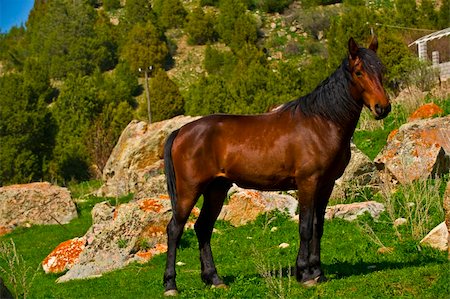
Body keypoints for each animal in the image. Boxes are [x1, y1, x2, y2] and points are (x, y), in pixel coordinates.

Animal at [162, 37, 390, 296]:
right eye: (359, 72)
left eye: (381, 70)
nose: (382, 107)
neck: (322, 122)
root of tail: (181, 131)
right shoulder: (308, 182)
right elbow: (305, 227)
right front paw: (305, 274)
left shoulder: (326, 184)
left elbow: (318, 226)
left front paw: (318, 272)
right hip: (189, 190)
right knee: (175, 229)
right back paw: (171, 285)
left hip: (216, 189)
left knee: (203, 228)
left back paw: (214, 279)